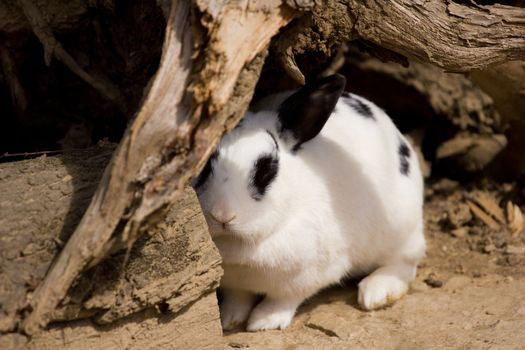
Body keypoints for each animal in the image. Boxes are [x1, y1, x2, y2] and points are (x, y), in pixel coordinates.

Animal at [192, 73, 426, 330]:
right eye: (203, 167)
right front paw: (229, 320)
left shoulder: (311, 275)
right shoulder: (234, 283)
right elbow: (238, 297)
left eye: (267, 171)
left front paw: (264, 322)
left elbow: (283, 300)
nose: (223, 216)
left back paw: (375, 292)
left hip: (401, 229)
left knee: (405, 263)